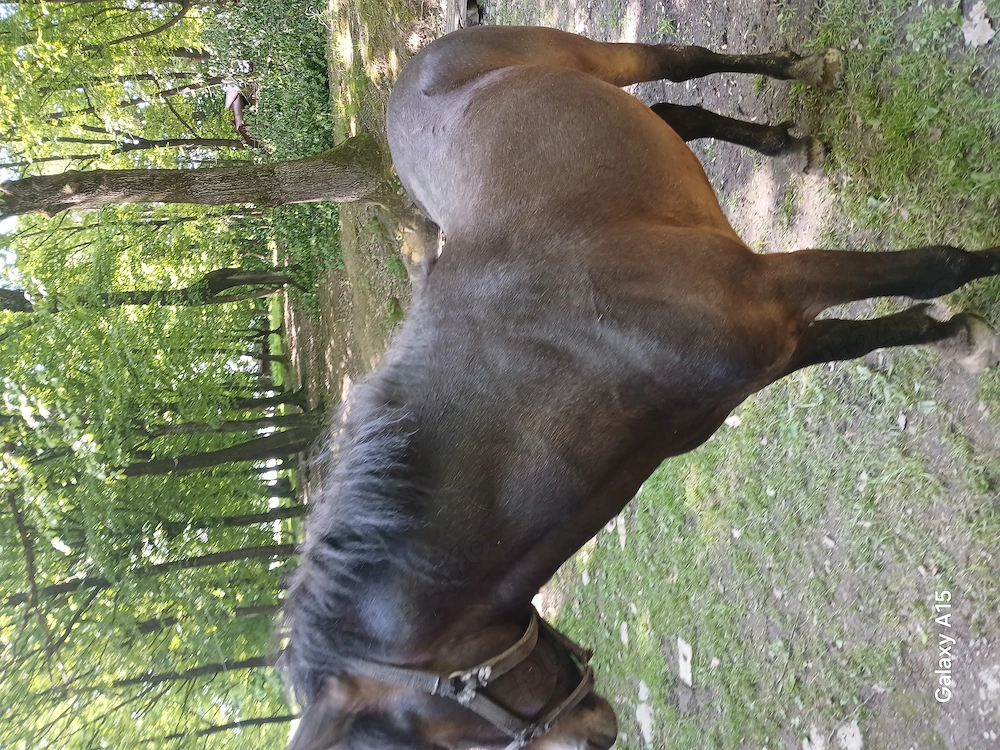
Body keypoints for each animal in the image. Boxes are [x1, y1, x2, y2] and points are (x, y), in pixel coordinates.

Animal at [281, 25, 1000, 750]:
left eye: (442, 734)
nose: (596, 734)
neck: (584, 337)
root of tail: (414, 68)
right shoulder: (773, 346)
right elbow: (866, 337)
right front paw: (953, 334)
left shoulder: (775, 290)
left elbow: (936, 267)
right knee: (673, 115)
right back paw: (783, 144)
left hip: (596, 56)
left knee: (681, 65)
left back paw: (799, 71)